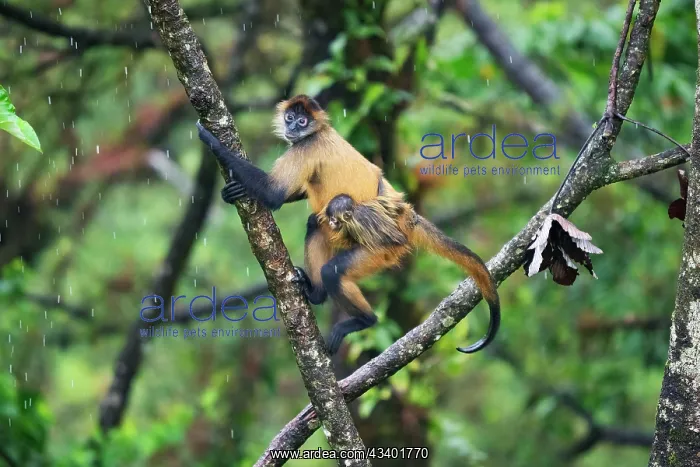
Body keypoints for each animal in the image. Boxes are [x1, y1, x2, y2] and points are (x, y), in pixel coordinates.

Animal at [196, 94, 500, 355]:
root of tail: (403, 216)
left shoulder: (306, 146)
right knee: (315, 224)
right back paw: (317, 294)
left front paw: (210, 139)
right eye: (290, 117)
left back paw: (364, 320)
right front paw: (234, 191)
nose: (292, 126)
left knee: (333, 271)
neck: (316, 132)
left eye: (303, 122)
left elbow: (273, 194)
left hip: (382, 250)